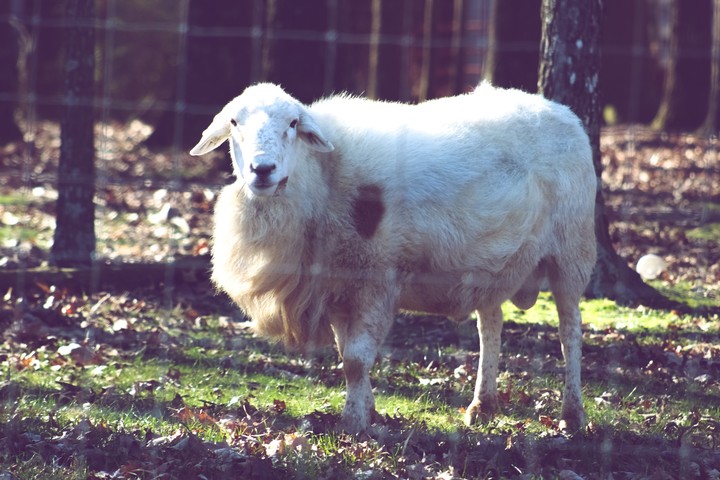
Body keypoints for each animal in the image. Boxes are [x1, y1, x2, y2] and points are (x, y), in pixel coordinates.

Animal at [189, 82, 597, 434]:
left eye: (293, 124)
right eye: (233, 122)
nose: (262, 170)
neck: (321, 177)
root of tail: (560, 111)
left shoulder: (376, 278)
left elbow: (356, 359)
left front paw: (354, 423)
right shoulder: (339, 284)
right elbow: (346, 354)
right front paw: (369, 411)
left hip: (572, 250)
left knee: (570, 331)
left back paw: (572, 414)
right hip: (492, 263)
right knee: (491, 324)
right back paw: (483, 405)